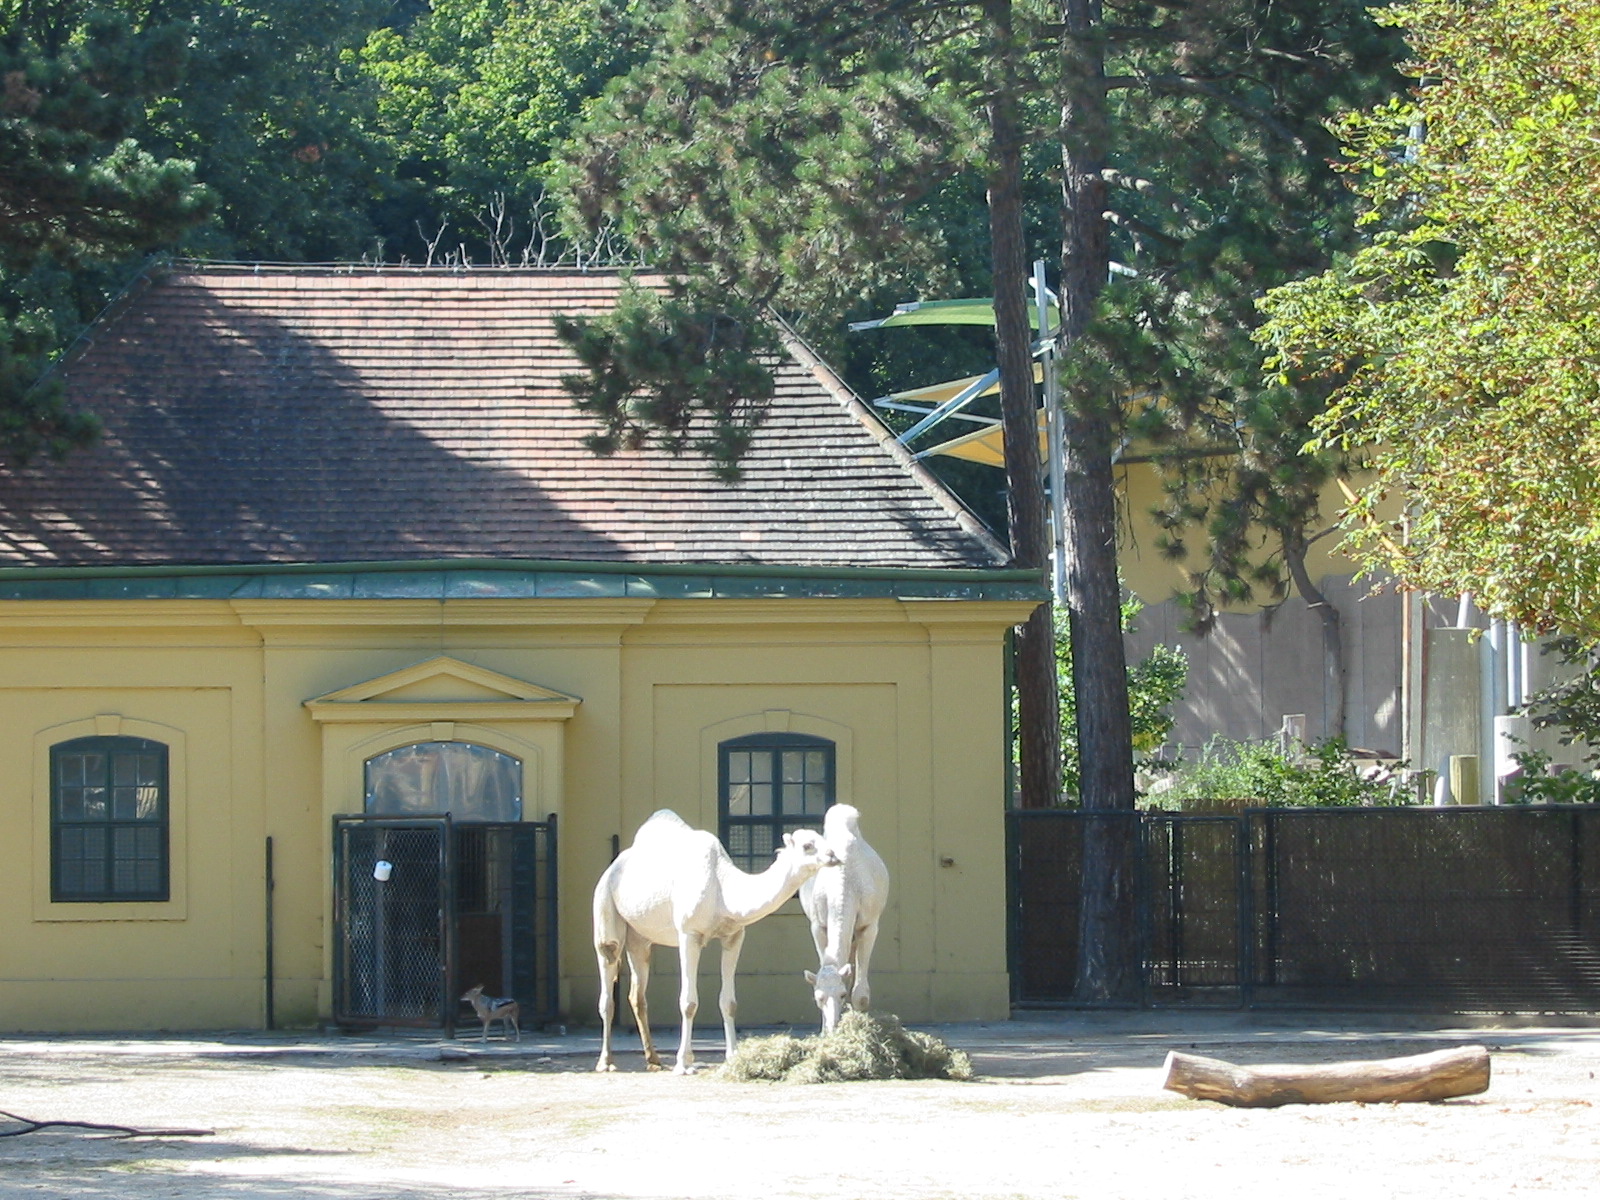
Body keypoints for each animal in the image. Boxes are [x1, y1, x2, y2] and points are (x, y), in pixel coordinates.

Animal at [592, 808, 836, 1074]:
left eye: (822, 837)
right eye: (807, 845)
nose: (833, 855)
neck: (723, 888)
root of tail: (612, 867)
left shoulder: (734, 936)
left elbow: (729, 1002)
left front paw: (732, 1057)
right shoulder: (689, 934)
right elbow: (688, 1002)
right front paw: (683, 1063)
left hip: (640, 938)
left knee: (637, 993)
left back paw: (654, 1059)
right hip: (605, 911)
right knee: (607, 980)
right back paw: (606, 1061)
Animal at [799, 804, 890, 1032]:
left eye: (840, 995)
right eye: (818, 998)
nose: (832, 1028)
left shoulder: (868, 925)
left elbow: (861, 995)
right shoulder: (818, 926)